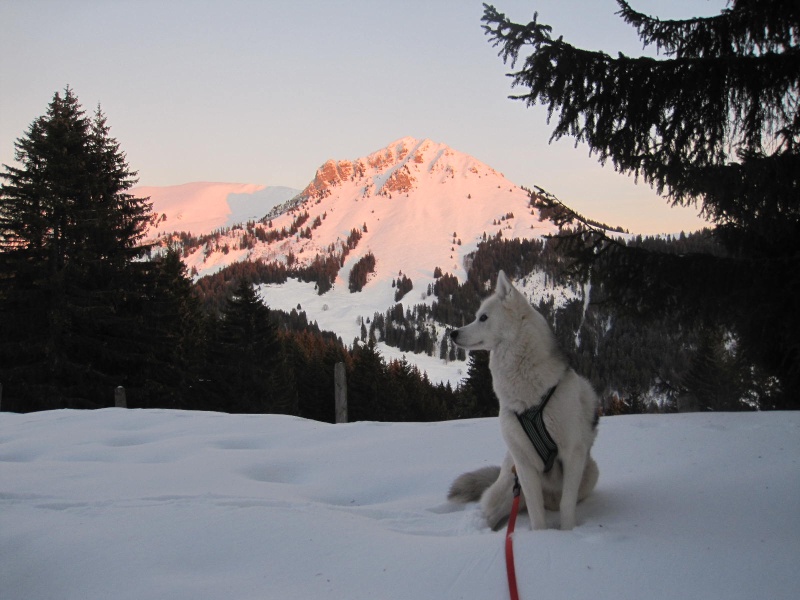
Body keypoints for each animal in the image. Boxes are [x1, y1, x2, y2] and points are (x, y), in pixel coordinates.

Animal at [446, 272, 596, 528]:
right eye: (476, 316)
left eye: (483, 317)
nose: (453, 333)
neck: (529, 400)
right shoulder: (524, 464)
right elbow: (536, 513)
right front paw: (539, 535)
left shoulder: (573, 453)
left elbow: (567, 506)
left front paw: (568, 533)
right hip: (509, 484)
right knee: (494, 511)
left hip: (591, 471)